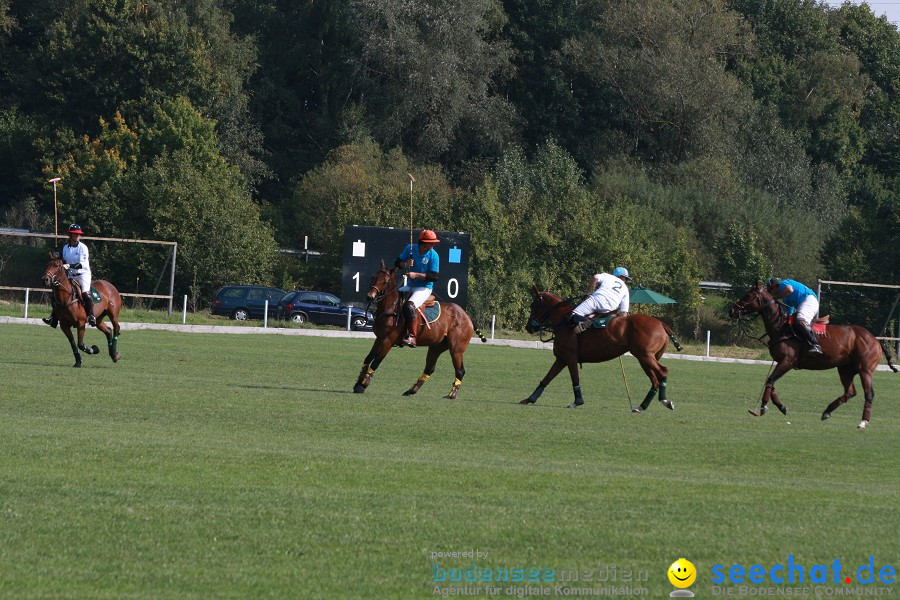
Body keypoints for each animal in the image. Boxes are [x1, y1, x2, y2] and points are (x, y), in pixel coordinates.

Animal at [356, 262, 488, 398]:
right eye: (373, 277)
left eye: (386, 281)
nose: (370, 296)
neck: (391, 308)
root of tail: (468, 317)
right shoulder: (379, 338)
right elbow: (368, 358)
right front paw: (358, 383)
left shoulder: (388, 340)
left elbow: (376, 361)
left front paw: (363, 384)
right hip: (436, 346)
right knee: (429, 368)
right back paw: (411, 390)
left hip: (456, 349)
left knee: (460, 370)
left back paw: (451, 394)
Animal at [520, 284, 684, 408]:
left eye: (533, 304)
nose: (529, 327)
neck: (563, 321)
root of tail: (661, 324)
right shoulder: (561, 358)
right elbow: (547, 378)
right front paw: (529, 399)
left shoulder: (570, 357)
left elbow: (575, 378)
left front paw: (577, 402)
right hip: (645, 358)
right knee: (655, 380)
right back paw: (641, 407)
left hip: (645, 356)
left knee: (663, 371)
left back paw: (664, 401)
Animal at [728, 284, 896, 428]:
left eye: (748, 295)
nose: (732, 311)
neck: (780, 326)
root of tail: (875, 340)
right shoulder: (781, 361)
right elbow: (771, 381)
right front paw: (781, 406)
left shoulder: (788, 361)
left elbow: (770, 380)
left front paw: (763, 406)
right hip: (845, 369)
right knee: (850, 392)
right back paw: (827, 412)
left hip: (865, 370)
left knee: (869, 394)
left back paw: (863, 422)